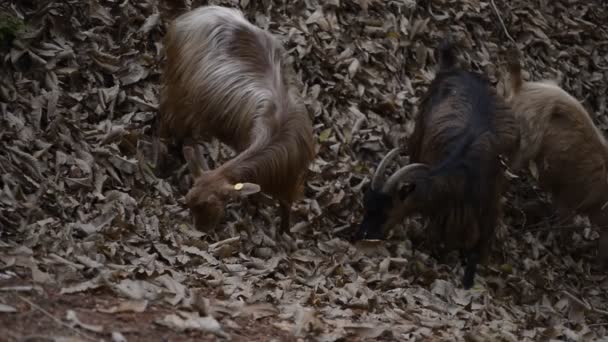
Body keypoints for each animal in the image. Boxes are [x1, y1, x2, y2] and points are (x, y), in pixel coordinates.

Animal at [157, 5, 316, 231]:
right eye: (188, 202)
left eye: (211, 204)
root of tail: (192, 14)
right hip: (177, 84)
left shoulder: (291, 181)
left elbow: (286, 206)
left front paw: (285, 231)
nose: (201, 230)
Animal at [356, 40, 516, 288]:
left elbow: (476, 252)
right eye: (366, 205)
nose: (362, 236)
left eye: (388, 209)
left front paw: (468, 283)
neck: (460, 174)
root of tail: (452, 69)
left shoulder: (488, 208)